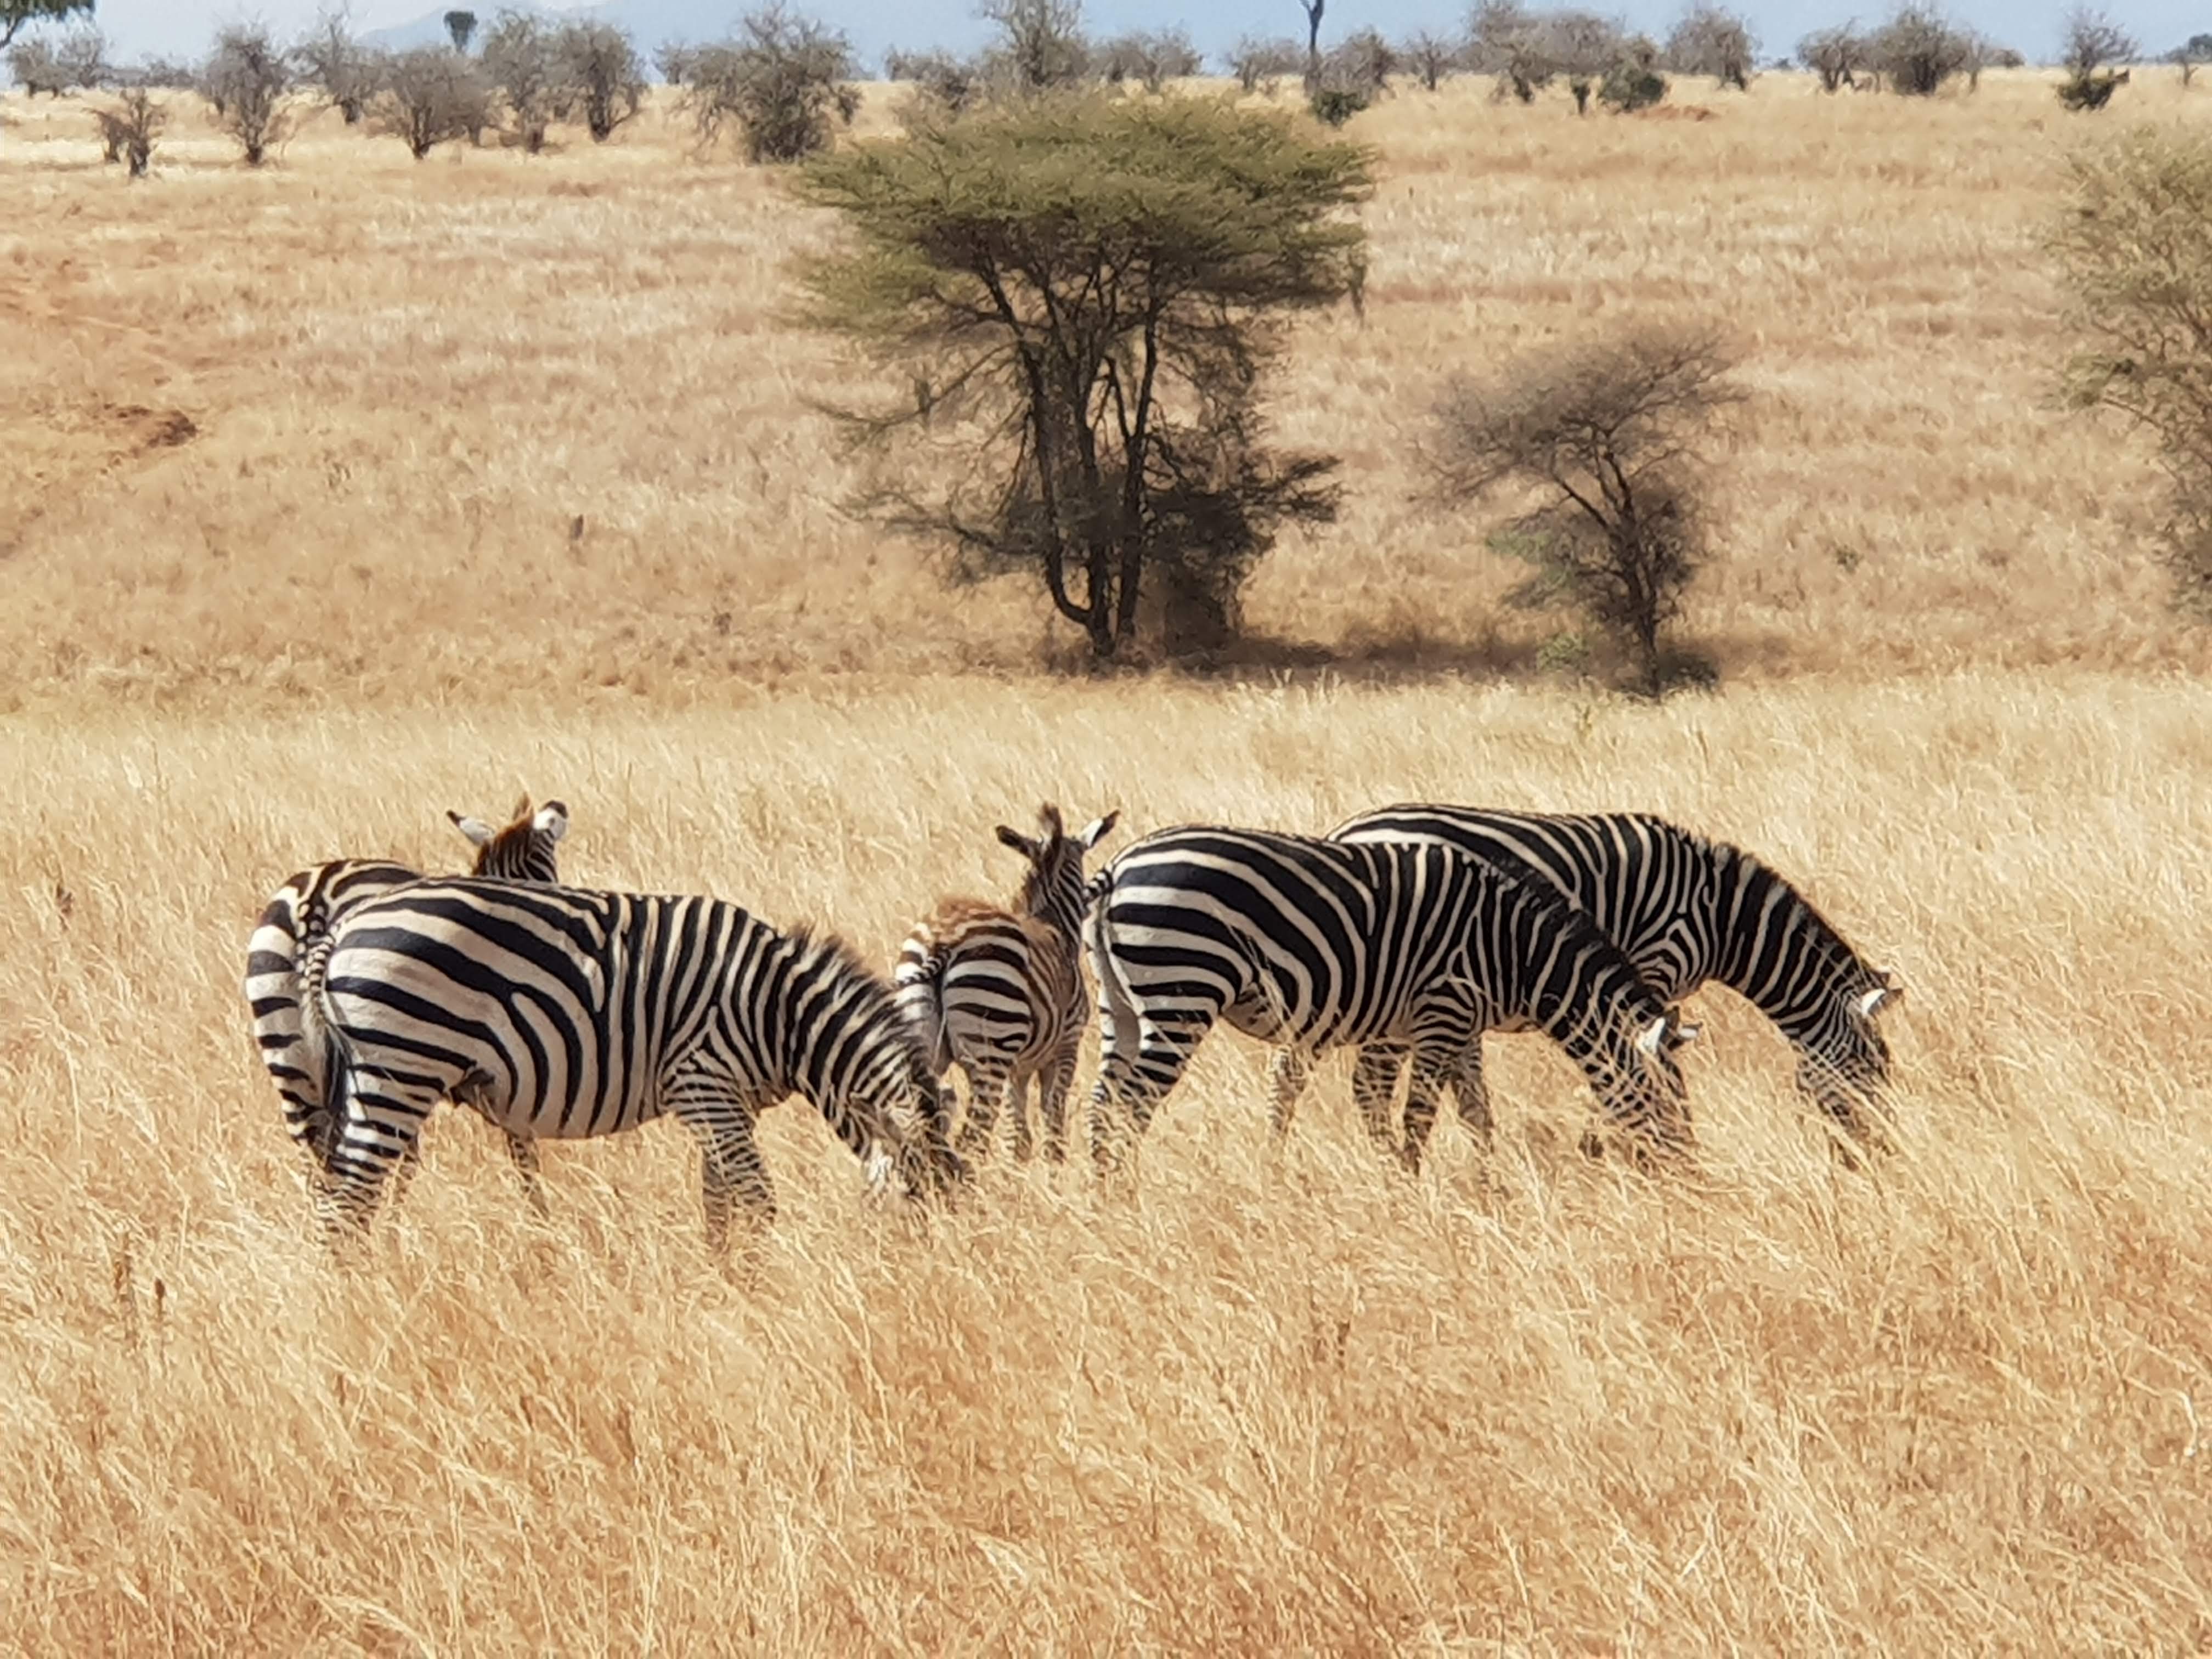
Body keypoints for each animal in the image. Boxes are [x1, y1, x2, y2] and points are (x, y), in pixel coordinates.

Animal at [310, 879, 965, 1249]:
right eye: (919, 1208)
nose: (940, 1288)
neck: (783, 1017)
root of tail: (346, 926)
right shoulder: (703, 1084)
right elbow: (757, 1199)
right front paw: (759, 1286)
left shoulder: (725, 1105)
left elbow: (718, 1204)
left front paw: (723, 1279)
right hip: (401, 1068)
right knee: (349, 1199)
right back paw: (360, 1301)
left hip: (375, 1076)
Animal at [895, 804, 1119, 1163]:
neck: (1052, 921)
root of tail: (944, 941)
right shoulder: (1066, 1046)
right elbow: (1053, 1125)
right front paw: (1054, 1171)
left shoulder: (1020, 1066)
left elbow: (1020, 1136)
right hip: (991, 1044)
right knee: (972, 1138)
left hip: (922, 1037)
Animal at [1084, 825, 1697, 1175]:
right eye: (1667, 1105)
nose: (1689, 1182)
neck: (1518, 950)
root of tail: (1119, 866)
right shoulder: (1443, 1011)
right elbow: (1421, 1114)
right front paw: (1410, 1187)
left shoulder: (1461, 1026)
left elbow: (1475, 1110)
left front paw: (1486, 1189)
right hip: (1182, 987)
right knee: (1134, 1103)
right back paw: (1126, 1192)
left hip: (1120, 1004)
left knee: (1102, 1100)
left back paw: (1100, 1200)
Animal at [1329, 806, 1903, 1152]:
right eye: (1872, 1073)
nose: (1876, 1156)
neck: (1719, 915)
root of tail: (1348, 830)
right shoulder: (1655, 964)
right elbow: (1637, 1058)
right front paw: (1613, 1146)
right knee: (1374, 1084)